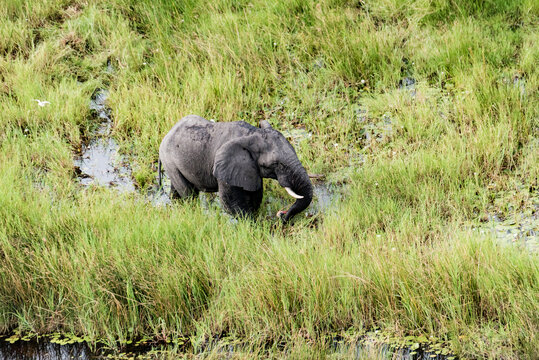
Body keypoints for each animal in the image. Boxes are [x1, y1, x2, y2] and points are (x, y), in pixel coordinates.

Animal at [158, 115, 314, 222]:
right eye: (276, 164)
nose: (282, 215)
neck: (252, 133)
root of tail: (167, 133)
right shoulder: (225, 168)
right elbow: (230, 204)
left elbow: (256, 196)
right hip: (169, 161)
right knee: (189, 194)